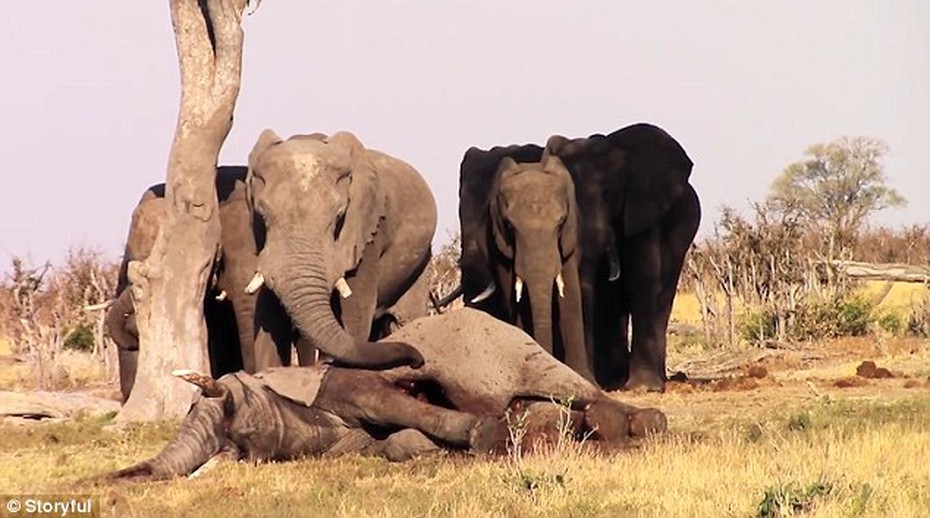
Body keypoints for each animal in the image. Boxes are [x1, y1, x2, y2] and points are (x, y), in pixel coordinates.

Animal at [105, 308, 664, 484]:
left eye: (227, 407)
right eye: (235, 447)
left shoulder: (343, 384)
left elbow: (382, 398)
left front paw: (484, 436)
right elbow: (395, 443)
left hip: (508, 345)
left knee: (572, 387)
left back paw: (640, 422)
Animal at [245, 130, 436, 372]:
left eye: (340, 216)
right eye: (262, 215)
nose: (417, 361)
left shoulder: (367, 234)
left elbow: (356, 315)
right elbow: (266, 320)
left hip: (421, 262)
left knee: (405, 318)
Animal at [454, 150, 592, 382]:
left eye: (560, 222)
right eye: (510, 226)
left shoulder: (570, 239)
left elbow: (570, 296)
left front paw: (585, 379)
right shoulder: (499, 245)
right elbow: (514, 296)